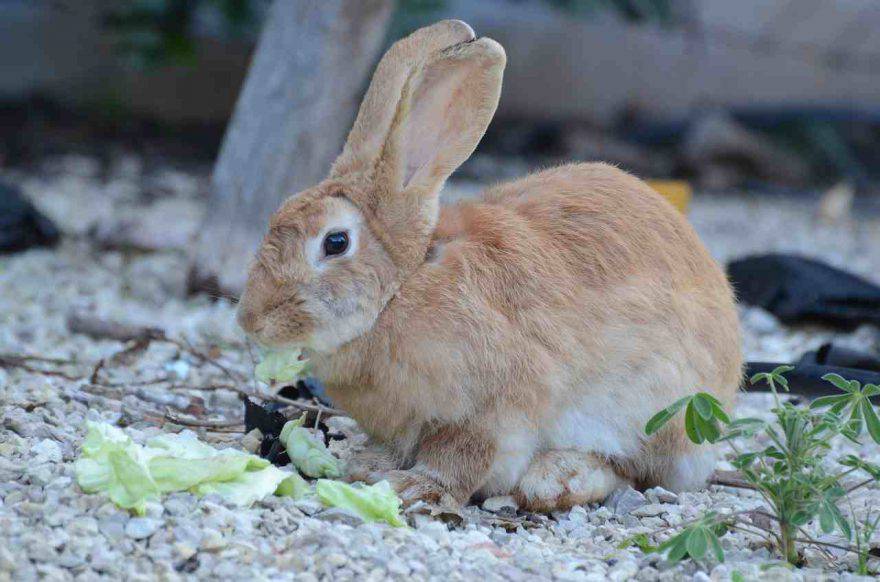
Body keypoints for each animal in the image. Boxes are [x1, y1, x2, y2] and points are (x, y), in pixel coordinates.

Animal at [237, 19, 740, 512]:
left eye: (335, 242)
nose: (250, 320)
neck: (403, 288)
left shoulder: (491, 409)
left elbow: (462, 455)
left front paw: (417, 487)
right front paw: (369, 465)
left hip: (656, 411)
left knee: (632, 470)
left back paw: (557, 480)